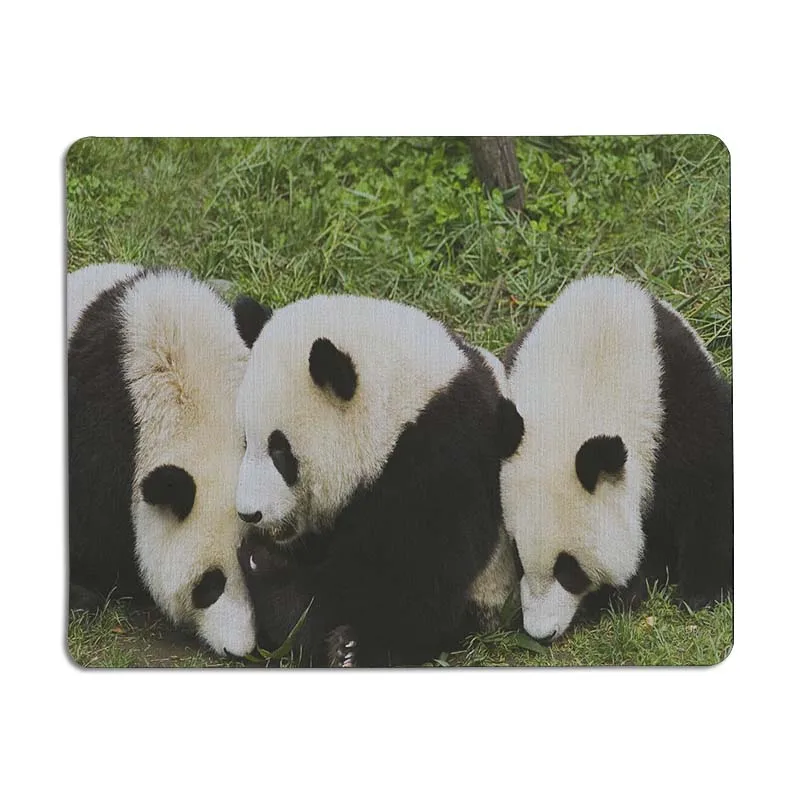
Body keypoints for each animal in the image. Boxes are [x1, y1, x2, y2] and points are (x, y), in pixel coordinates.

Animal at [232, 294, 519, 667]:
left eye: (281, 452)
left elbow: (407, 584)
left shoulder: (442, 458)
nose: (249, 514)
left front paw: (262, 563)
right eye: (245, 440)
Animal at [499, 274, 733, 644]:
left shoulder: (677, 412)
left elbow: (711, 487)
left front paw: (701, 592)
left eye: (568, 569)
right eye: (518, 560)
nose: (541, 633)